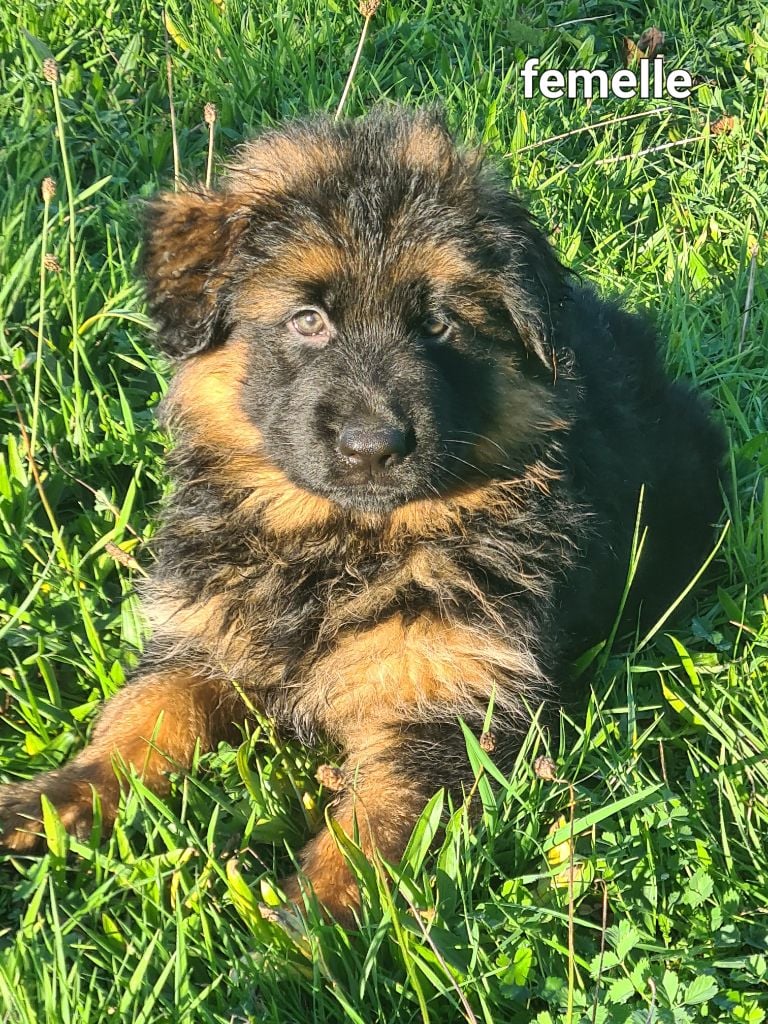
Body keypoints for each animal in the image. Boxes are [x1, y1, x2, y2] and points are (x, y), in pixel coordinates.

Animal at [0, 108, 724, 925]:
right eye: (307, 320)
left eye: (439, 325)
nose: (373, 447)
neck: (341, 545)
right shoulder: (204, 636)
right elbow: (142, 718)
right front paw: (50, 803)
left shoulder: (446, 701)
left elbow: (376, 825)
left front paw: (308, 930)